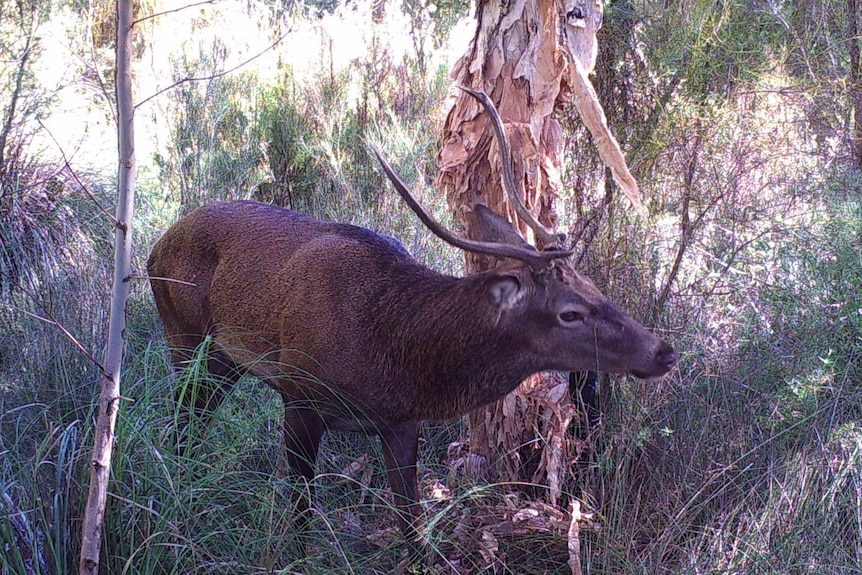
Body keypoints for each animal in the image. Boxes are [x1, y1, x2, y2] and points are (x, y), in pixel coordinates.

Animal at [147, 86, 676, 560]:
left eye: (595, 287)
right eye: (570, 312)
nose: (664, 352)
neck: (396, 358)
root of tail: (156, 244)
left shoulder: (401, 423)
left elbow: (411, 529)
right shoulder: (299, 395)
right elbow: (300, 514)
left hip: (224, 360)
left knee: (192, 419)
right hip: (183, 335)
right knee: (180, 420)